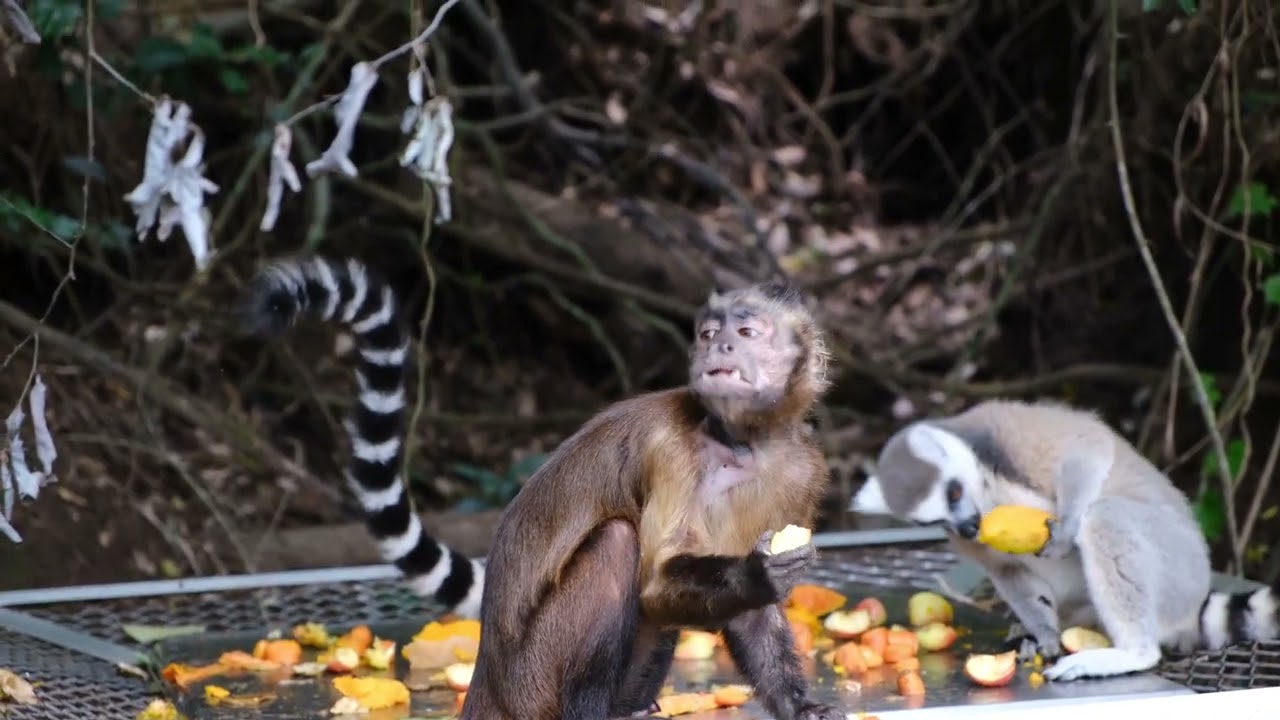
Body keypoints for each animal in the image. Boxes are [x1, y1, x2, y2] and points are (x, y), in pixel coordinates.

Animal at [458, 282, 845, 720]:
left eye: (746, 333)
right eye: (709, 335)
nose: (721, 346)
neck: (741, 444)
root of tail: (489, 681)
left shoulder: (804, 468)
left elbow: (751, 614)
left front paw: (799, 706)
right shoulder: (669, 449)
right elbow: (657, 581)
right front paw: (755, 574)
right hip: (531, 685)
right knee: (616, 542)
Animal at [848, 397, 1280, 682]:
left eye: (953, 493)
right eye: (936, 519)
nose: (968, 528)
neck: (988, 492)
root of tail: (1193, 601)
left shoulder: (1007, 435)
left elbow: (1086, 445)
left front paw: (1069, 527)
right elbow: (1008, 570)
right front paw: (1045, 635)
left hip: (1177, 569)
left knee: (1106, 516)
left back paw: (1130, 654)